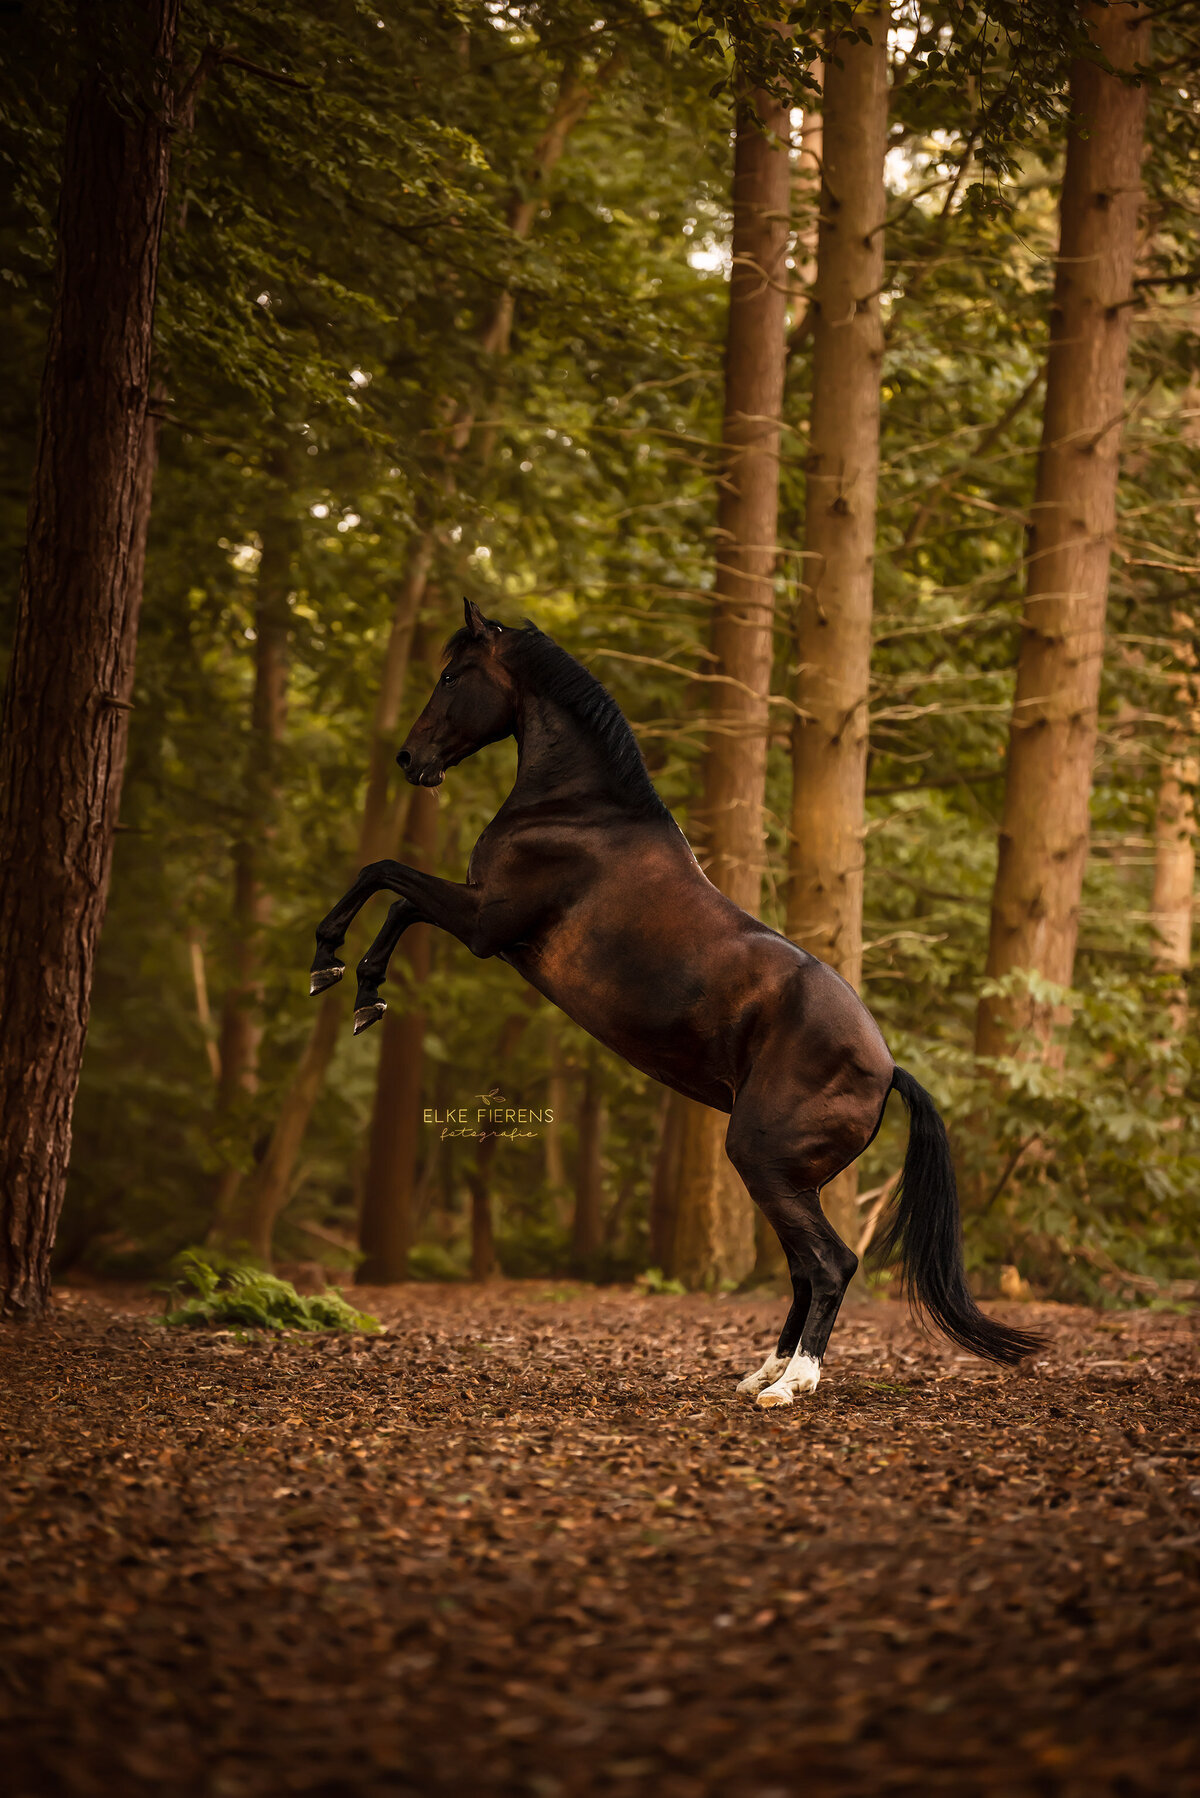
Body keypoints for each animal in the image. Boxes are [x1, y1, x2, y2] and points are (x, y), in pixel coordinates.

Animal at [309, 604, 1043, 1402]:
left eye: (453, 675)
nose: (410, 758)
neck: (579, 812)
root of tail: (888, 1069)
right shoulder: (482, 924)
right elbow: (393, 895)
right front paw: (358, 987)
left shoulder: (484, 924)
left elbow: (385, 879)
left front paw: (338, 968)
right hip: (788, 1178)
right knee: (802, 1267)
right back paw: (762, 1373)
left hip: (761, 1160)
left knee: (830, 1264)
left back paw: (793, 1384)